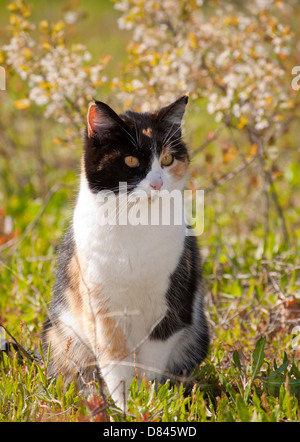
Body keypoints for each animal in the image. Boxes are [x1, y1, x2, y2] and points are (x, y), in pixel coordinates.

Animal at [42, 95, 209, 410]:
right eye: (131, 161)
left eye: (167, 159)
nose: (157, 183)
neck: (136, 224)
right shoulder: (100, 306)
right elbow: (114, 361)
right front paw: (125, 407)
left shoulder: (171, 306)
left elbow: (151, 361)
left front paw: (148, 401)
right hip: (63, 338)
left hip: (196, 334)